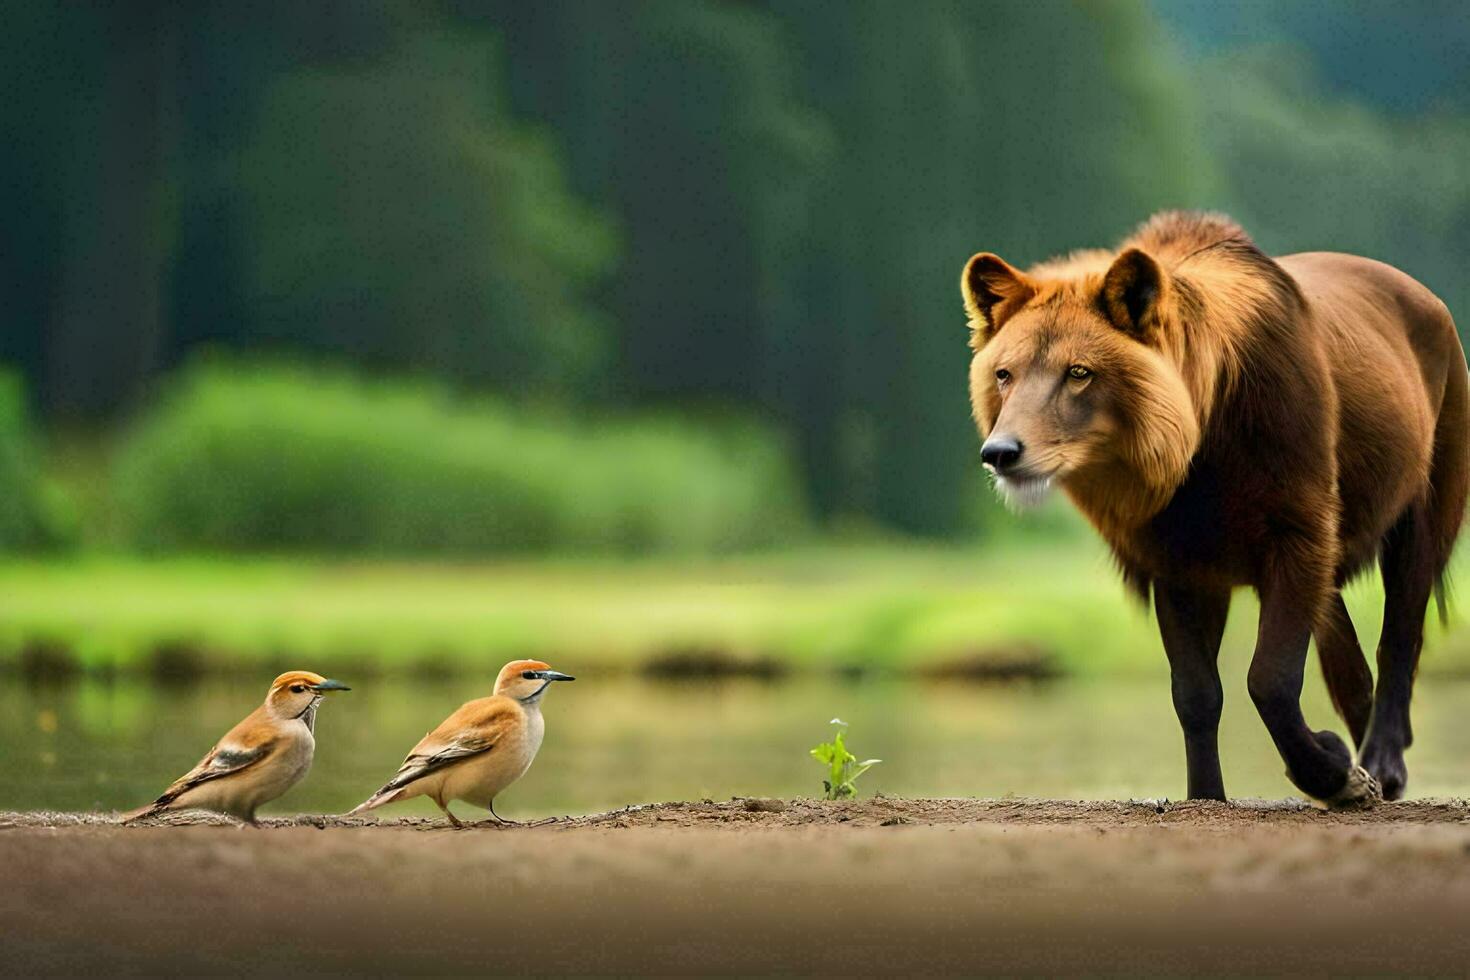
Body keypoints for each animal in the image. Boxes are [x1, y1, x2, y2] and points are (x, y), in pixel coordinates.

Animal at [964, 213, 1458, 805]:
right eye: (1005, 374)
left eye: (1079, 372)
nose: (1000, 452)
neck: (1197, 455)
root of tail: (1426, 296)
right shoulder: (1178, 560)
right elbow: (1196, 693)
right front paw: (1209, 793)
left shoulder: (1298, 533)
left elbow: (1270, 679)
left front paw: (1336, 776)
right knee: (1352, 671)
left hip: (1426, 509)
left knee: (1399, 642)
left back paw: (1382, 765)